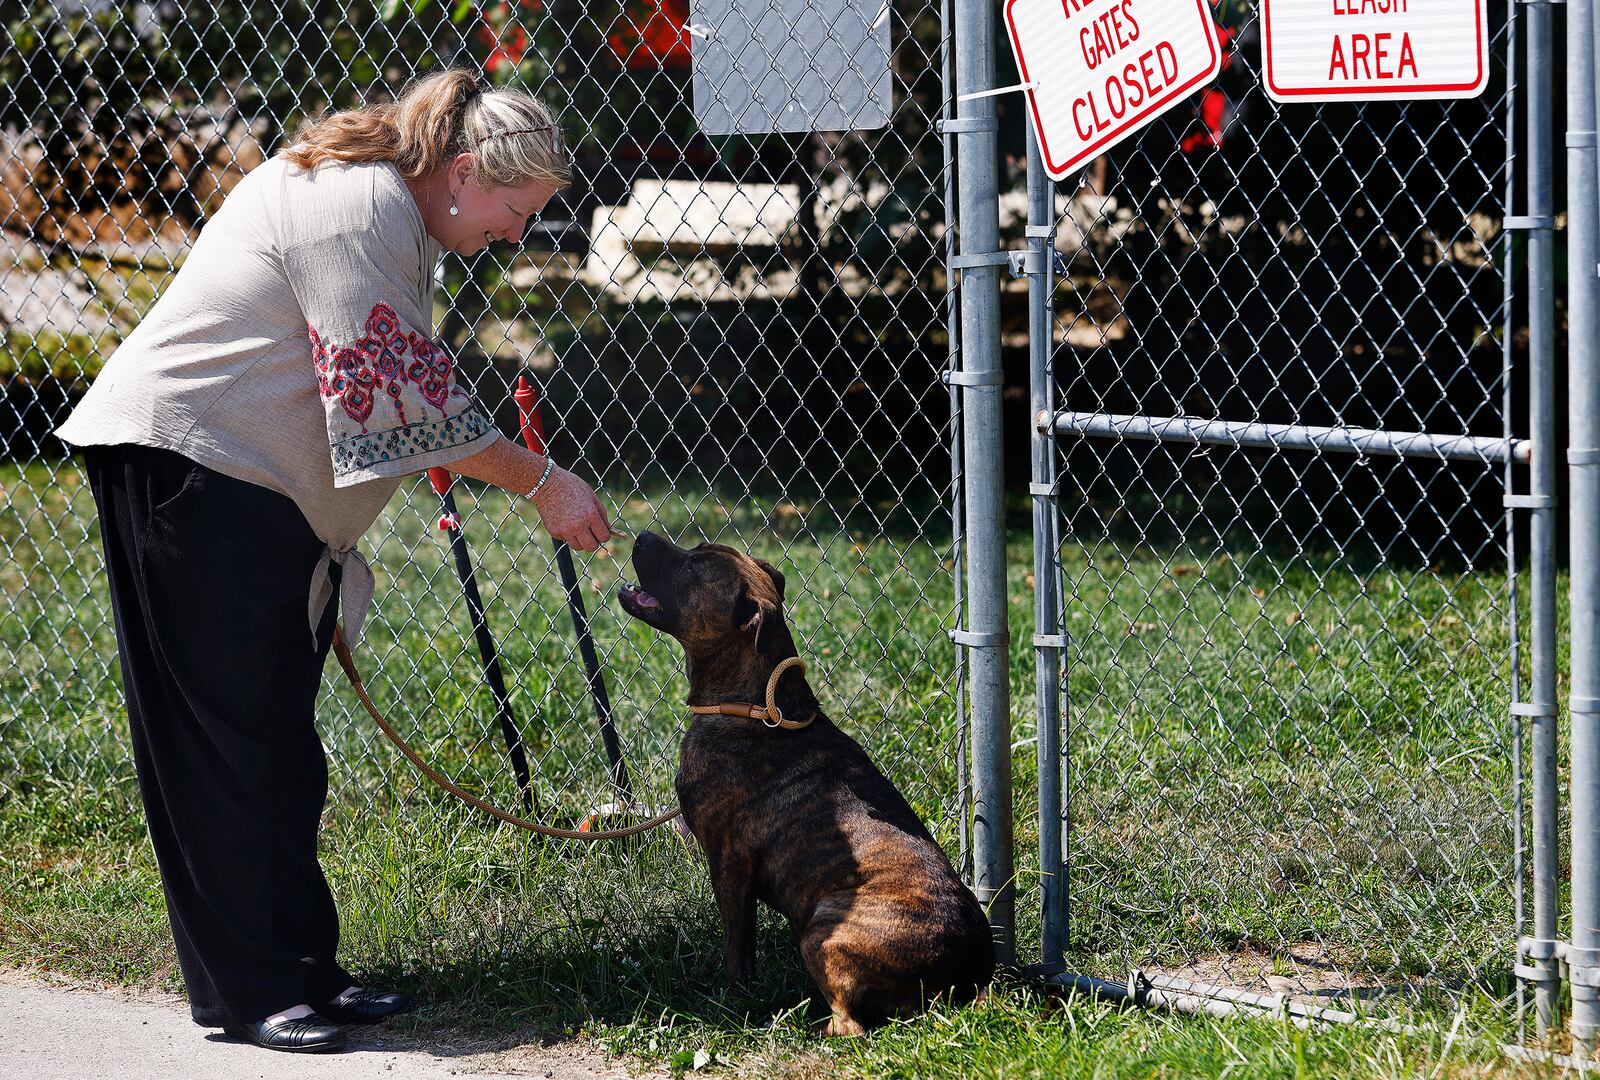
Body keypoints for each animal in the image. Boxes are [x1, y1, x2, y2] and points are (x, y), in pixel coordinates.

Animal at [617, 531, 992, 1036]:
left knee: (850, 1025)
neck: (753, 704)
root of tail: (962, 978)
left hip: (823, 928)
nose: (642, 536)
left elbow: (737, 943)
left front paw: (732, 994)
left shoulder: (729, 861)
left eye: (694, 566)